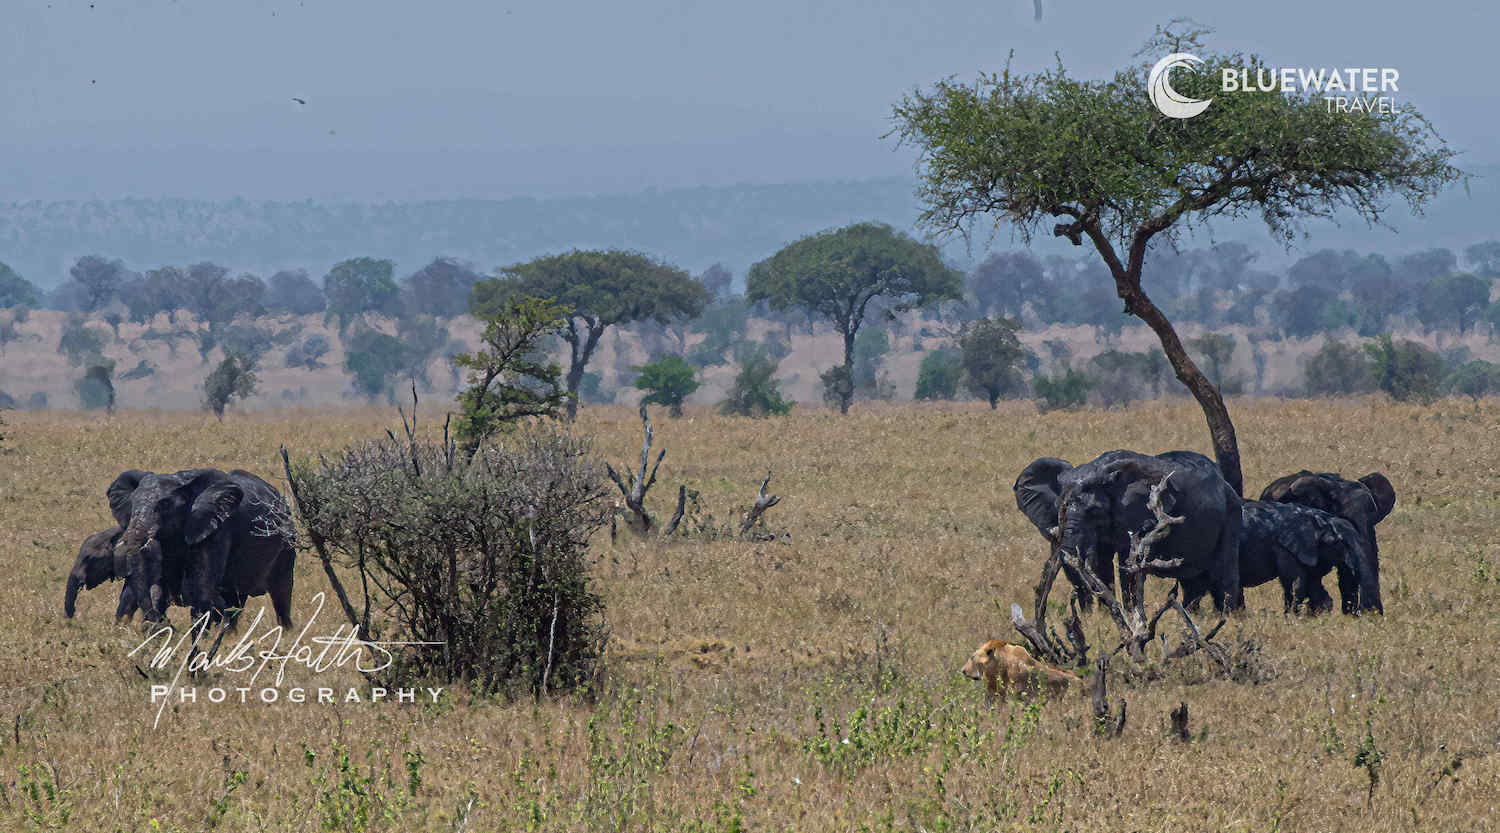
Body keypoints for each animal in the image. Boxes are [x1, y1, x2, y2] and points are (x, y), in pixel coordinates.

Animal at [107, 468, 297, 629]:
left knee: (281, 593)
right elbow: (158, 588)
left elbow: (202, 589)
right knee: (235, 599)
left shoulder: (217, 529)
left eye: (164, 505)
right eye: (132, 504)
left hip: (287, 543)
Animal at [1239, 500, 1377, 614]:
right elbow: (1296, 583)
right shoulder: (1284, 549)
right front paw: (1292, 618)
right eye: (1339, 542)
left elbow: (1315, 588)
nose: (1358, 613)